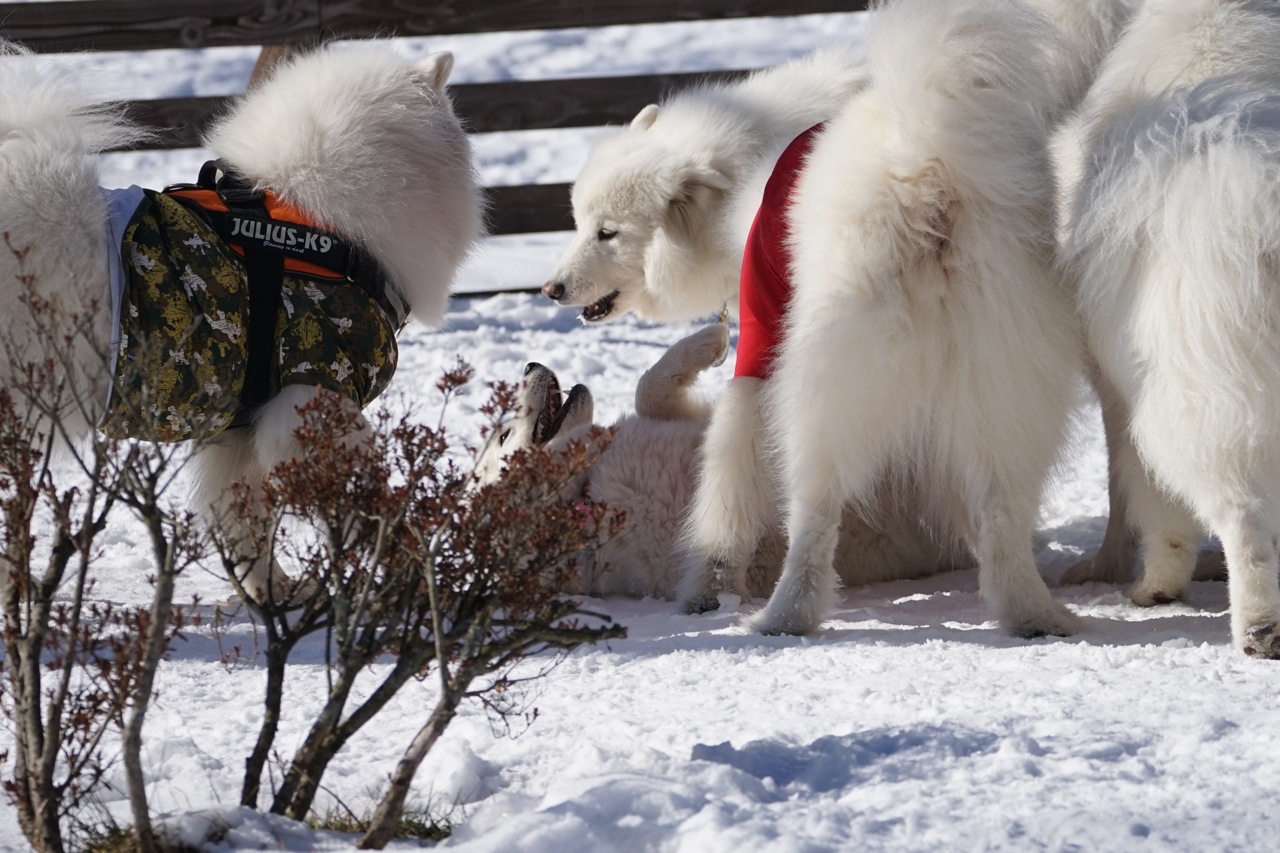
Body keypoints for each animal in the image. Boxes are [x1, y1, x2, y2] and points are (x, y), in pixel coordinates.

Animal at [1, 41, 481, 596]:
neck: (321, 232)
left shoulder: (238, 429)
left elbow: (245, 521)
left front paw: (277, 595)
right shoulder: (313, 399)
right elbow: (366, 500)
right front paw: (409, 575)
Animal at [473, 325, 967, 596]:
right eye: (503, 435)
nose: (529, 364)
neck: (590, 490)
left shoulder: (692, 423)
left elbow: (647, 387)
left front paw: (708, 340)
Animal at [1054, 0, 1280, 655]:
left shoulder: (1121, 391)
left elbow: (1135, 495)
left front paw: (1150, 585)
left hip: (1199, 403)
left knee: (1239, 514)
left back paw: (1258, 627)